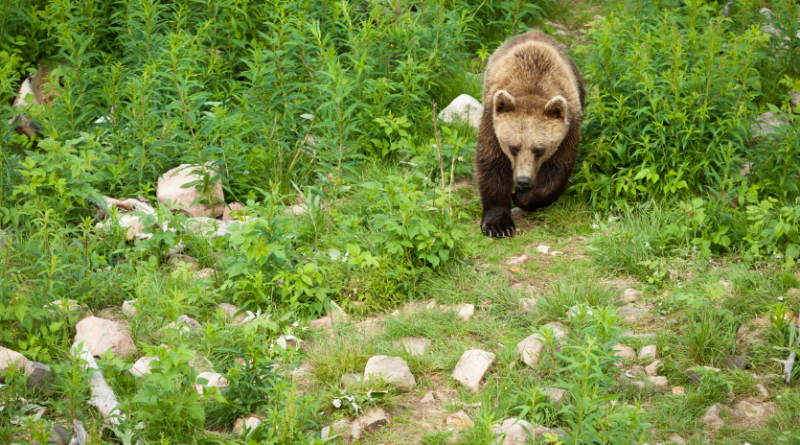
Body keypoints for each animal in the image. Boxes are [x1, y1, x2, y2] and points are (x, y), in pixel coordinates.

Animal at [472, 29, 584, 238]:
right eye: (513, 147)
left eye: (539, 149)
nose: (523, 179)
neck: (533, 87)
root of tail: (534, 32)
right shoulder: (491, 121)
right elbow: (492, 162)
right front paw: (498, 225)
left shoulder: (569, 126)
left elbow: (557, 168)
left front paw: (522, 197)